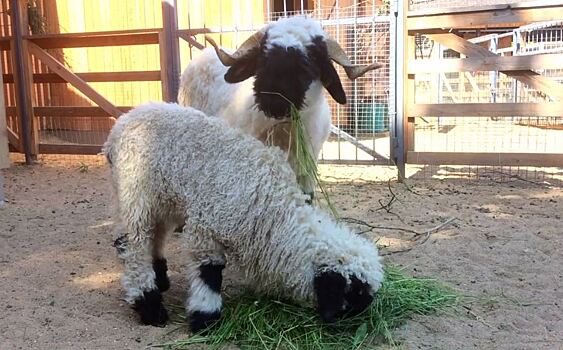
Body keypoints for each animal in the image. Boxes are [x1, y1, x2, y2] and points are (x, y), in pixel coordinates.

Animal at [103, 102, 386, 332]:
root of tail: (121, 124)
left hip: (162, 198)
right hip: (135, 191)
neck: (272, 215)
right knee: (134, 245)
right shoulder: (207, 227)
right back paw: (149, 304)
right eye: (353, 292)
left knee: (155, 236)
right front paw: (205, 318)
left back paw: (160, 279)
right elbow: (209, 273)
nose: (341, 322)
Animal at [178, 16, 382, 201]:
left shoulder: (308, 170)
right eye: (263, 54)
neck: (284, 131)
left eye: (313, 56)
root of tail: (202, 55)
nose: (275, 102)